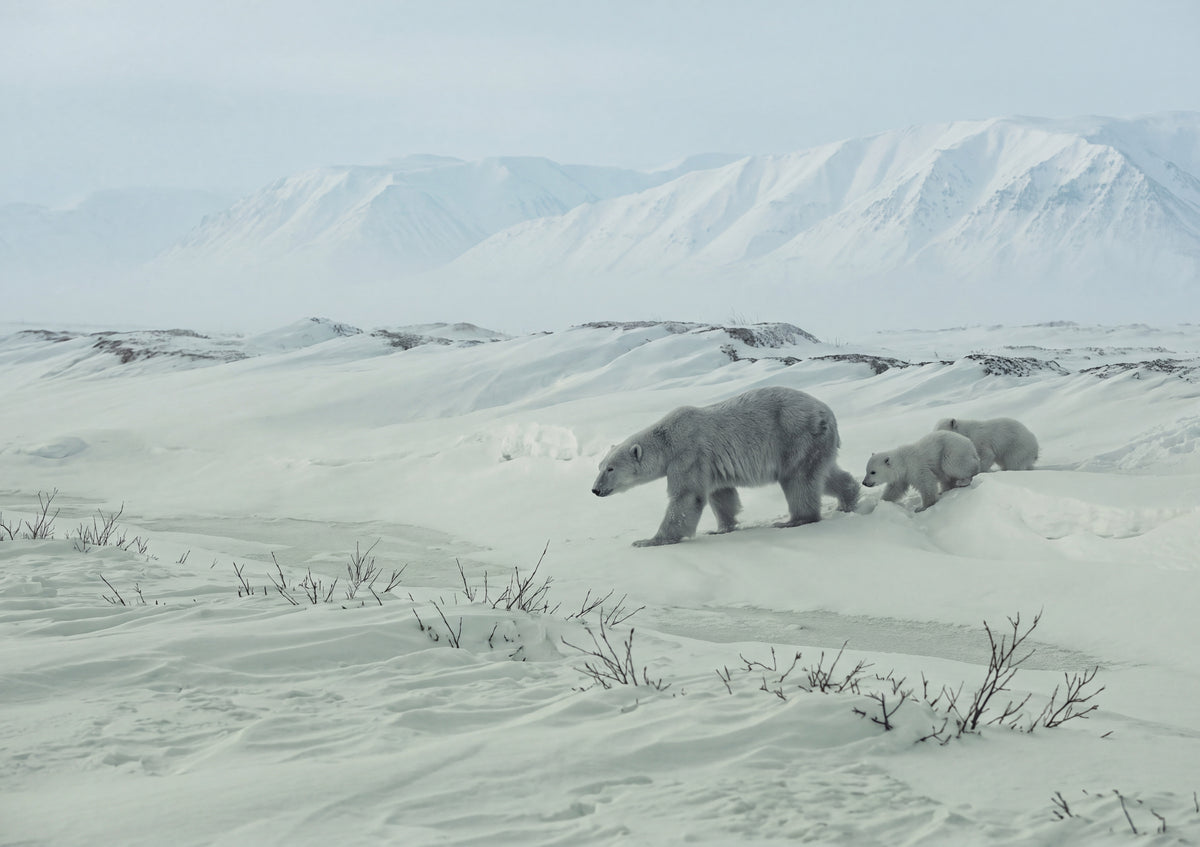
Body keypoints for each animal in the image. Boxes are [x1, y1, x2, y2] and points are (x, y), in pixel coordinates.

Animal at [591, 386, 860, 546]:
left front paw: (649, 540)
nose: (595, 490)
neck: (667, 439)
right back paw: (848, 498)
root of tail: (828, 414)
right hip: (815, 443)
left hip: (796, 436)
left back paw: (794, 520)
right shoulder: (710, 464)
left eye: (610, 469)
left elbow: (687, 497)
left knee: (799, 479)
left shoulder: (688, 454)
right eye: (599, 466)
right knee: (823, 474)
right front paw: (722, 529)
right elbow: (721, 494)